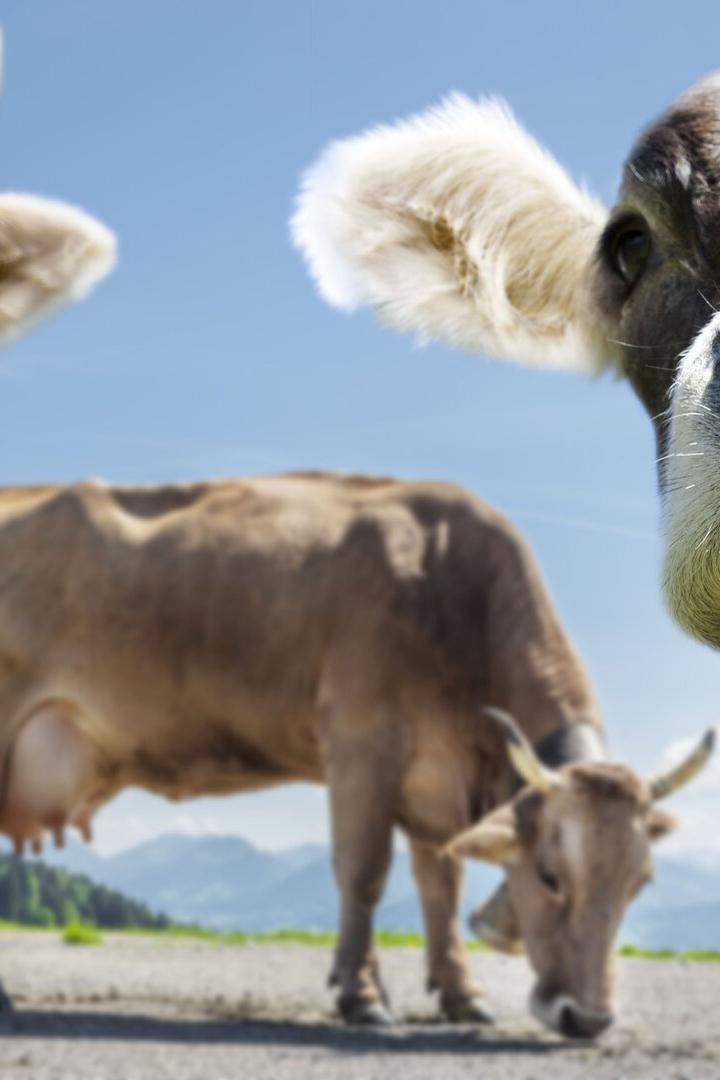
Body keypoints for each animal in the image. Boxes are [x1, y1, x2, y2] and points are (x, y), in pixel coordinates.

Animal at [0, 471, 711, 1037]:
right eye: (549, 875)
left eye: (641, 882)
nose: (587, 1020)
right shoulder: (362, 739)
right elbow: (364, 871)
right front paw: (361, 996)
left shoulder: (439, 777)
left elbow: (441, 885)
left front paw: (463, 996)